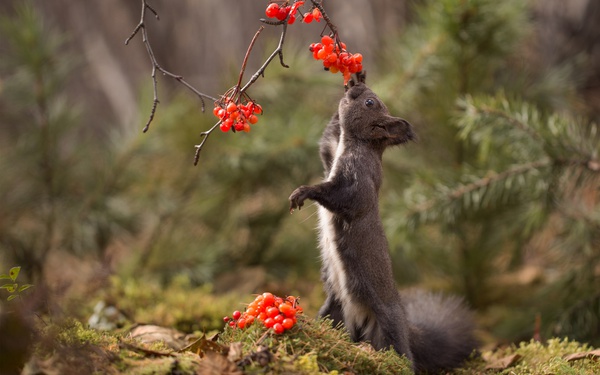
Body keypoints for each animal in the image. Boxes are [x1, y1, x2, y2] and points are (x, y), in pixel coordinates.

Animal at [288, 72, 476, 374]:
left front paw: (305, 191)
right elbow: (326, 143)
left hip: (387, 327)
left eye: (370, 102)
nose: (355, 88)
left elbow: (347, 198)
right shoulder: (331, 155)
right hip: (334, 311)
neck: (360, 144)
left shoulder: (360, 179)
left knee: (402, 354)